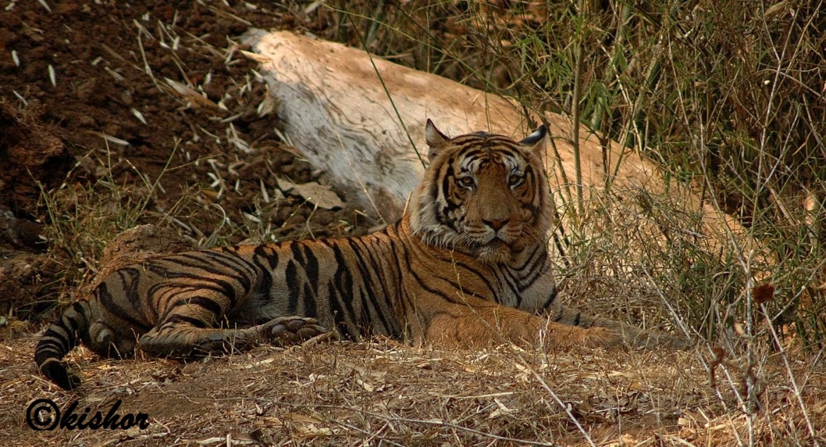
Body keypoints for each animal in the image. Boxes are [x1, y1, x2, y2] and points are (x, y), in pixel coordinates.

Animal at [33, 121, 688, 390]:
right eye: (468, 181)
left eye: (515, 178)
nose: (499, 221)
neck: (510, 256)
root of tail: (108, 277)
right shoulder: (457, 317)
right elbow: (539, 332)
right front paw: (612, 343)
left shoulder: (548, 300)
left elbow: (596, 320)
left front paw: (665, 338)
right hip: (228, 269)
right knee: (164, 338)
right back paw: (285, 333)